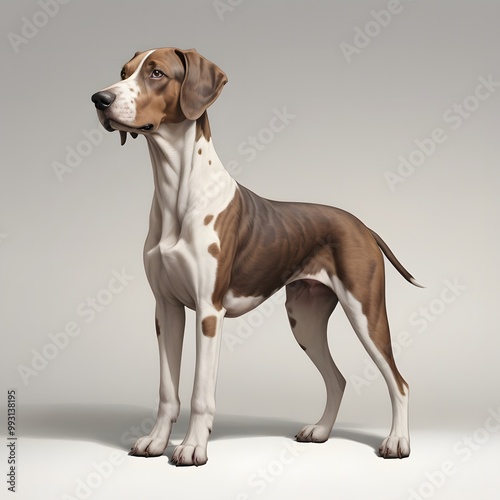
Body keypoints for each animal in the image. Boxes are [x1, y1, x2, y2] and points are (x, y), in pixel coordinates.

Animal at [92, 47, 420, 464]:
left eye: (157, 73)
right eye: (123, 72)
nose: (99, 99)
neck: (177, 191)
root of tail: (362, 225)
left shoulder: (208, 312)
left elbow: (200, 393)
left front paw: (192, 447)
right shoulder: (166, 309)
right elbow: (168, 390)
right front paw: (155, 441)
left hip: (365, 312)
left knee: (399, 381)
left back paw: (397, 442)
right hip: (304, 319)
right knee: (337, 379)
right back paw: (321, 431)